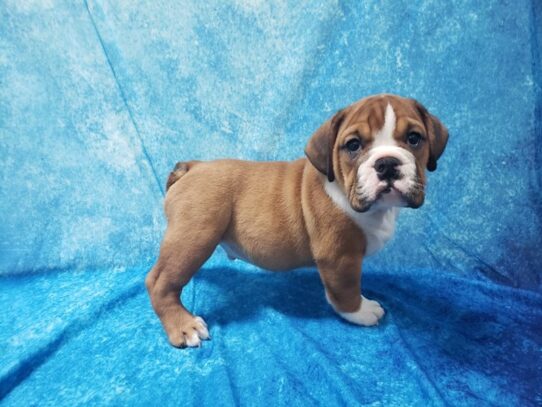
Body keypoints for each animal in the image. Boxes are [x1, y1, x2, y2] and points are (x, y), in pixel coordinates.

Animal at [146, 94, 450, 350]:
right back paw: (184, 326)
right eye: (353, 145)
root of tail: (192, 167)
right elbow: (346, 290)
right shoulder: (340, 258)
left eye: (414, 138)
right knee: (160, 282)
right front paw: (360, 311)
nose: (387, 163)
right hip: (194, 238)